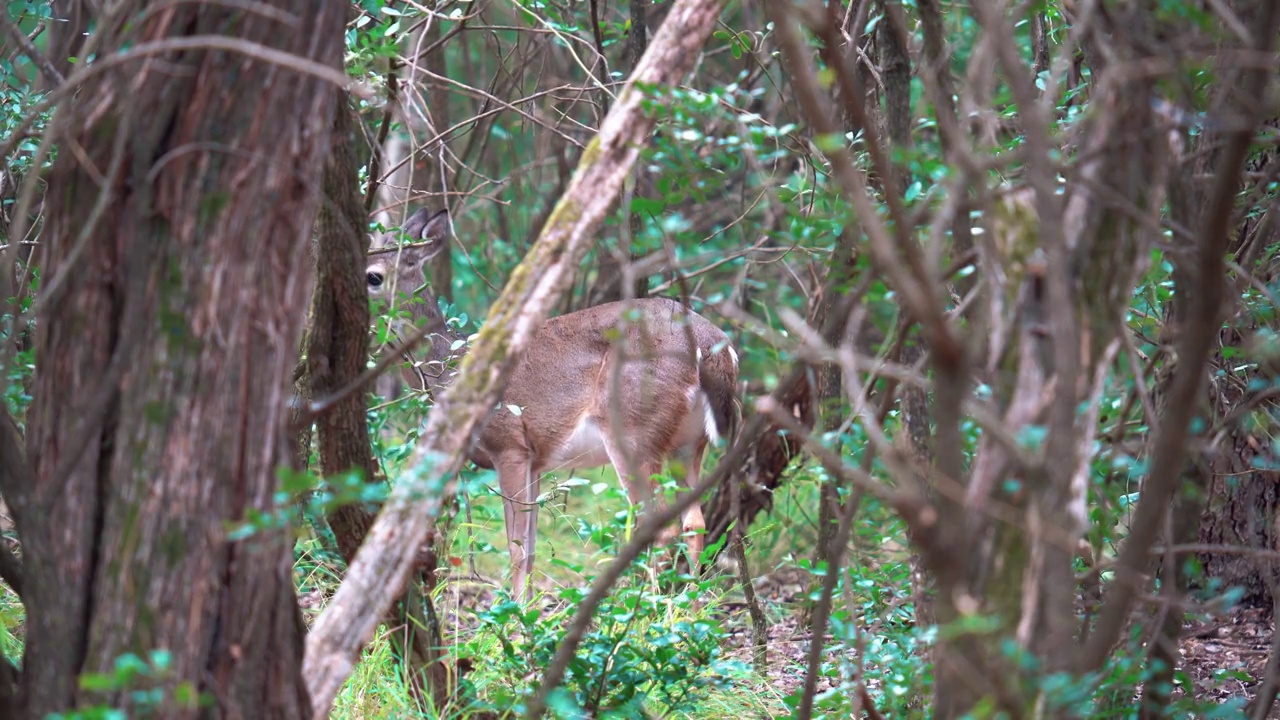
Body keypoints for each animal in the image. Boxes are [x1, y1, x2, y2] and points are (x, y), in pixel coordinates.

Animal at [366, 208, 742, 599]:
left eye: (374, 276)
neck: (454, 369)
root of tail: (714, 345)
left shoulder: (510, 444)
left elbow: (516, 548)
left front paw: (516, 613)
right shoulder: (536, 460)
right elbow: (531, 549)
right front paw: (527, 608)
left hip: (634, 429)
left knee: (661, 526)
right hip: (688, 442)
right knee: (694, 523)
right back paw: (688, 607)